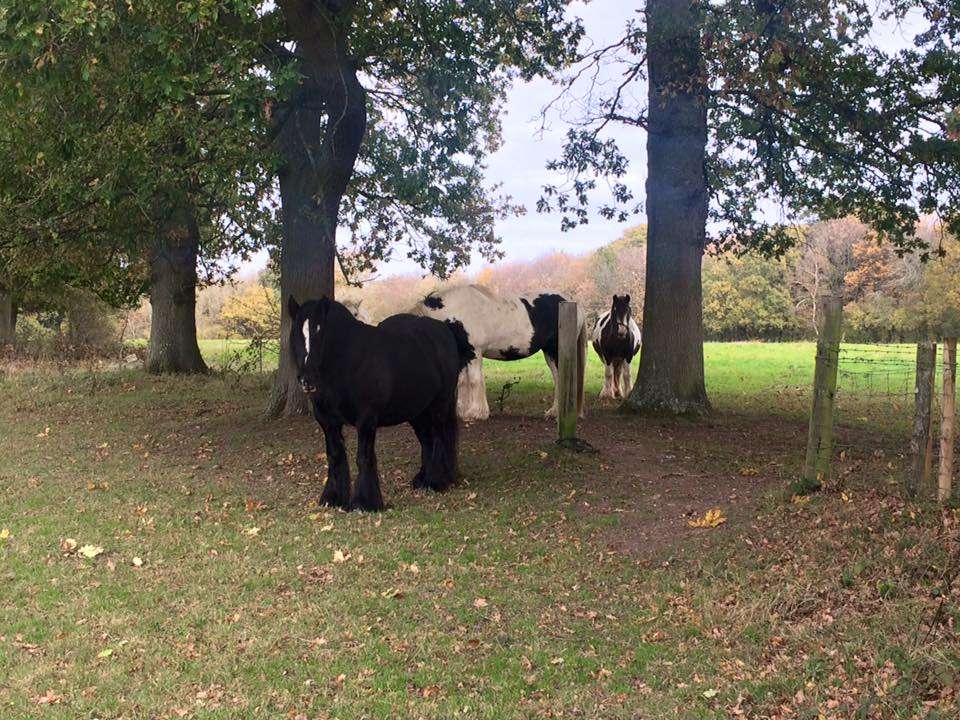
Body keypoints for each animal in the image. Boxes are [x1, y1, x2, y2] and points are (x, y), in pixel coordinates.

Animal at [288, 294, 476, 512]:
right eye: (295, 332)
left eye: (320, 331)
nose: (307, 380)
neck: (348, 362)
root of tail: (445, 331)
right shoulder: (327, 421)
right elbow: (334, 455)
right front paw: (332, 498)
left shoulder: (366, 420)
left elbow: (363, 456)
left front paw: (363, 503)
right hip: (417, 412)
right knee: (427, 441)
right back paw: (422, 480)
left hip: (440, 405)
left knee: (438, 438)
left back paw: (436, 482)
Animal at [408, 284, 588, 422]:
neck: (456, 312)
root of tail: (573, 303)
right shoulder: (463, 355)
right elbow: (463, 382)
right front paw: (462, 412)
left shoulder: (474, 352)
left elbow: (475, 381)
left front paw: (477, 413)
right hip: (549, 353)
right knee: (558, 380)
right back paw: (554, 412)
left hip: (556, 351)